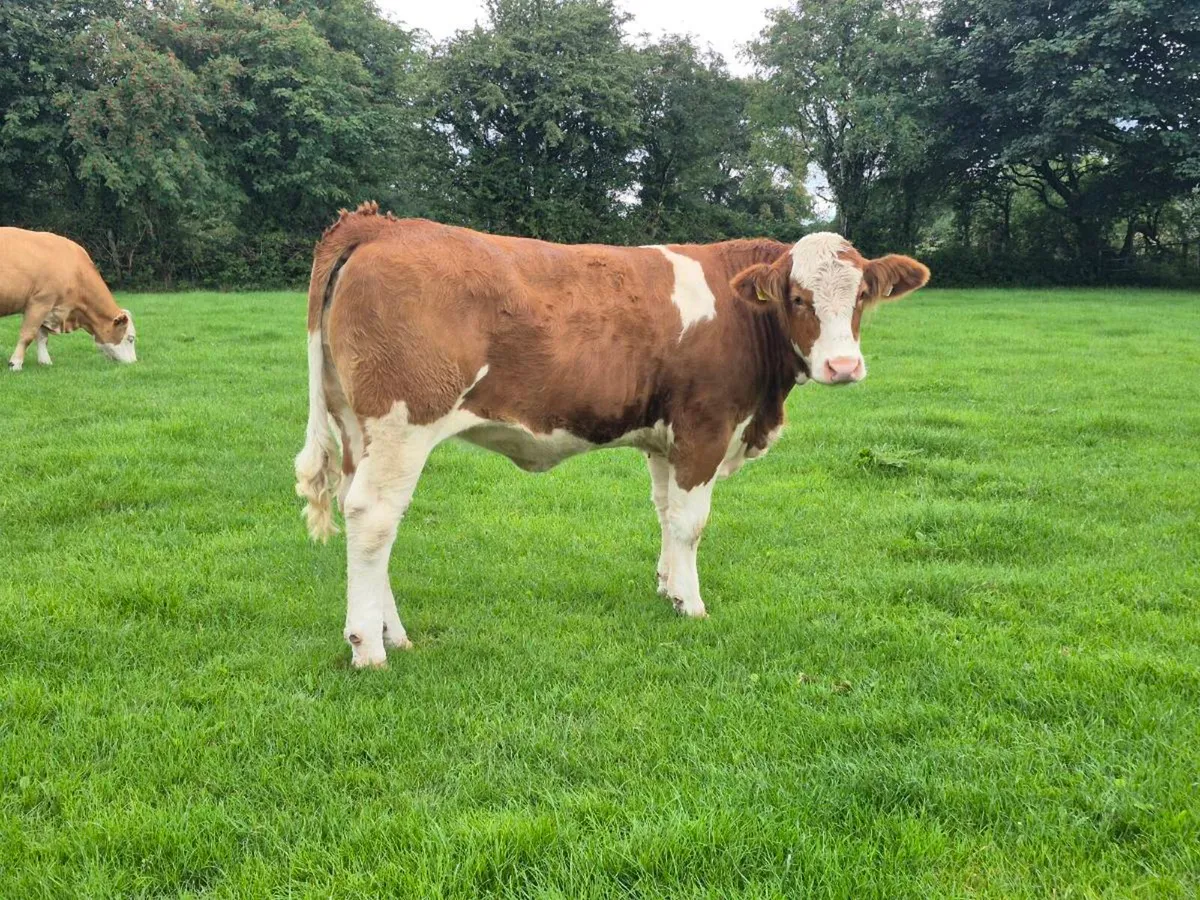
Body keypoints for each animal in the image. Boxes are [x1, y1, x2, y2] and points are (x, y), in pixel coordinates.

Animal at [1, 227, 137, 371]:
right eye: (131, 338)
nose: (134, 363)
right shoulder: (41, 302)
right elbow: (28, 334)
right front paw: (15, 364)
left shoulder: (47, 307)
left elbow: (42, 337)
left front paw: (45, 361)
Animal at [295, 202, 930, 668]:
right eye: (798, 298)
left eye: (861, 297)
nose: (843, 367)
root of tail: (379, 227)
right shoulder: (705, 427)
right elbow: (691, 522)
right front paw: (692, 605)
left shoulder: (666, 438)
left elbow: (665, 511)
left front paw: (668, 588)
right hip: (403, 423)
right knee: (375, 518)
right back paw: (370, 647)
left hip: (358, 430)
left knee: (361, 511)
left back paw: (391, 631)